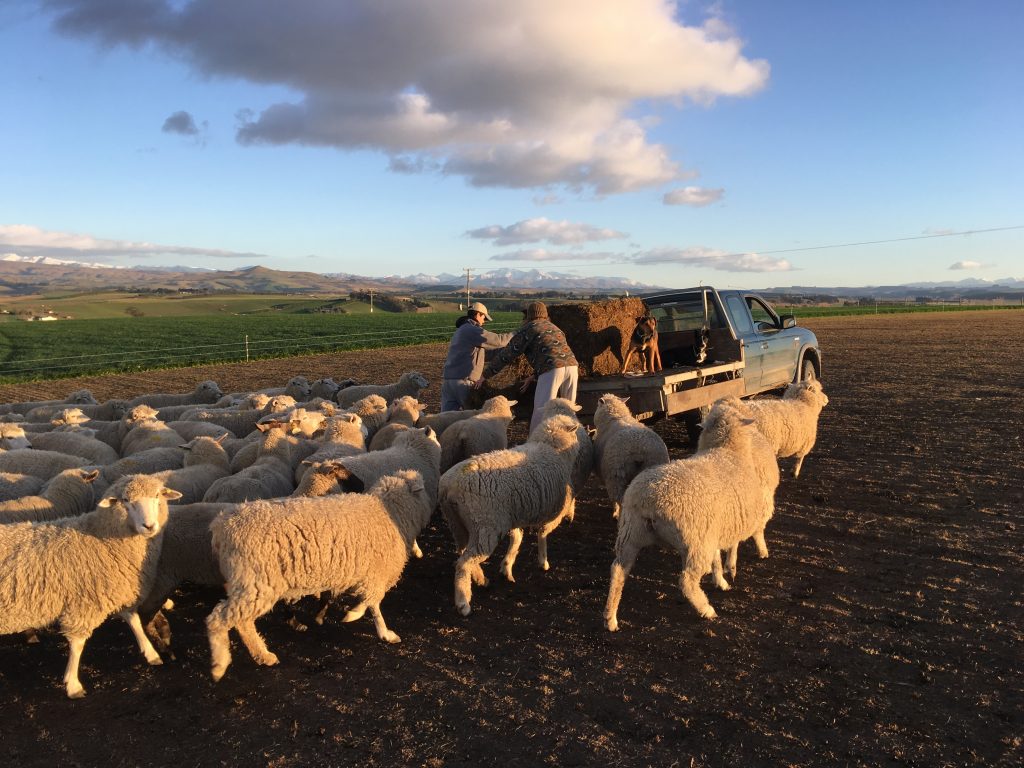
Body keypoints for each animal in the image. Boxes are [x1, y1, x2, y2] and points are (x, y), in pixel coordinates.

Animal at [0, 474, 181, 697]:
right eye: (126, 500)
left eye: (157, 496)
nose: (149, 526)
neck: (100, 537)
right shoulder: (84, 602)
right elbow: (78, 645)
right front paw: (73, 684)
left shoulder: (116, 587)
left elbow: (133, 619)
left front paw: (150, 652)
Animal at [205, 469, 433, 682]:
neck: (387, 511)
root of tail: (222, 527)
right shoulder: (377, 572)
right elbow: (374, 604)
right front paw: (383, 633)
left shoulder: (367, 573)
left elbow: (366, 601)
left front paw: (351, 613)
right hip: (257, 582)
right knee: (219, 619)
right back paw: (220, 664)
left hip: (250, 583)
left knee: (242, 622)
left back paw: (263, 656)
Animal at [439, 414, 581, 616]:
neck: (551, 449)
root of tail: (449, 486)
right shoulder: (553, 510)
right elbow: (543, 533)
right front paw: (543, 561)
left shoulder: (512, 515)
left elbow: (517, 538)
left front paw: (507, 566)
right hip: (485, 525)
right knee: (464, 562)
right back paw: (463, 602)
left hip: (458, 523)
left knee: (463, 553)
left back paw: (480, 578)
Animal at [603, 400, 780, 631]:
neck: (727, 451)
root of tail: (648, 500)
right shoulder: (733, 522)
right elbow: (732, 547)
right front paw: (730, 570)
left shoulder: (716, 528)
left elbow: (716, 557)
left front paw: (720, 580)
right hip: (695, 544)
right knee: (686, 581)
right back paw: (707, 609)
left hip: (630, 533)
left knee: (618, 570)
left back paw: (610, 618)